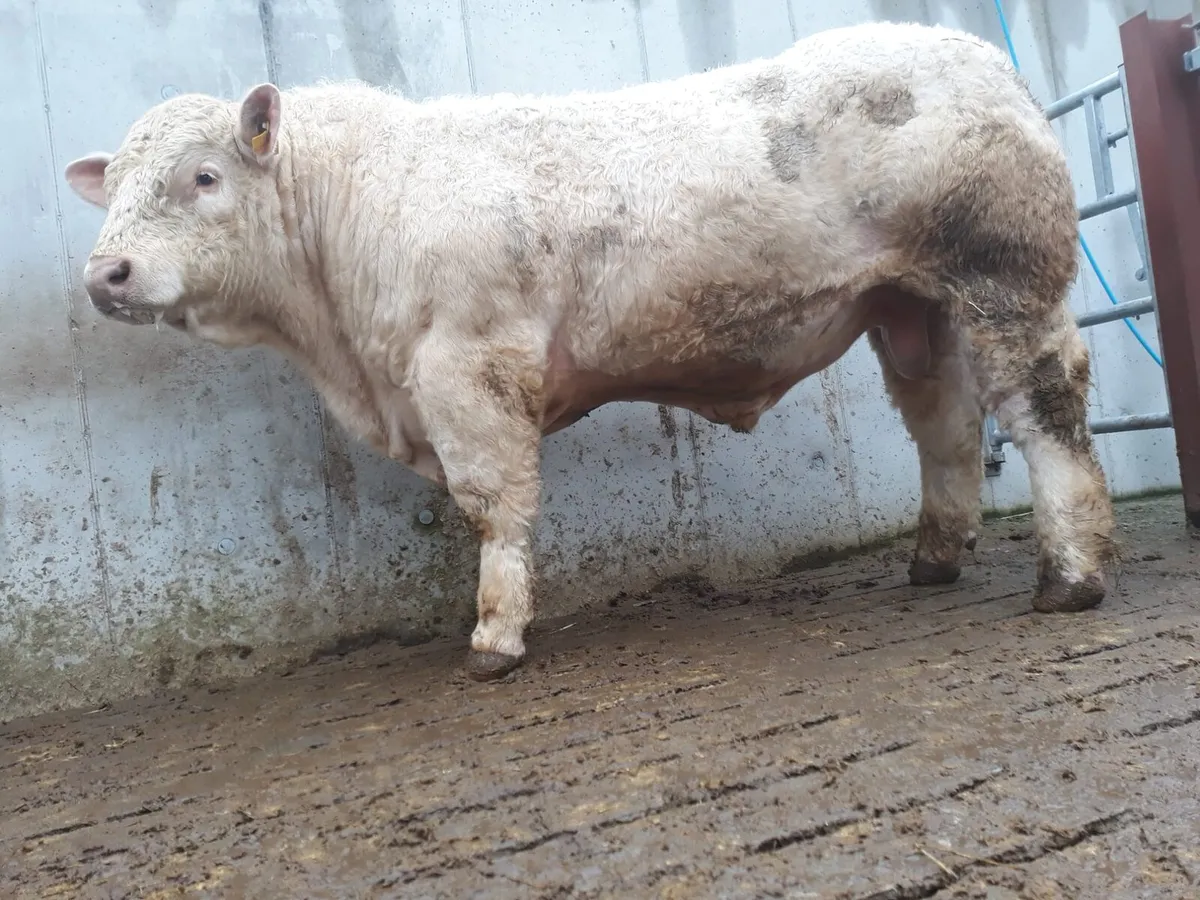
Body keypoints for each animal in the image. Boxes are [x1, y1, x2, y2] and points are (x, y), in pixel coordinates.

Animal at [63, 20, 1116, 682]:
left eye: (203, 176)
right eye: (112, 188)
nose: (105, 273)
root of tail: (980, 56)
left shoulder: (469, 364)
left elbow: (495, 503)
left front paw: (495, 638)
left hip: (1004, 279)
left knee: (1046, 410)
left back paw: (1070, 577)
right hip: (911, 308)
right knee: (945, 427)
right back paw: (935, 560)